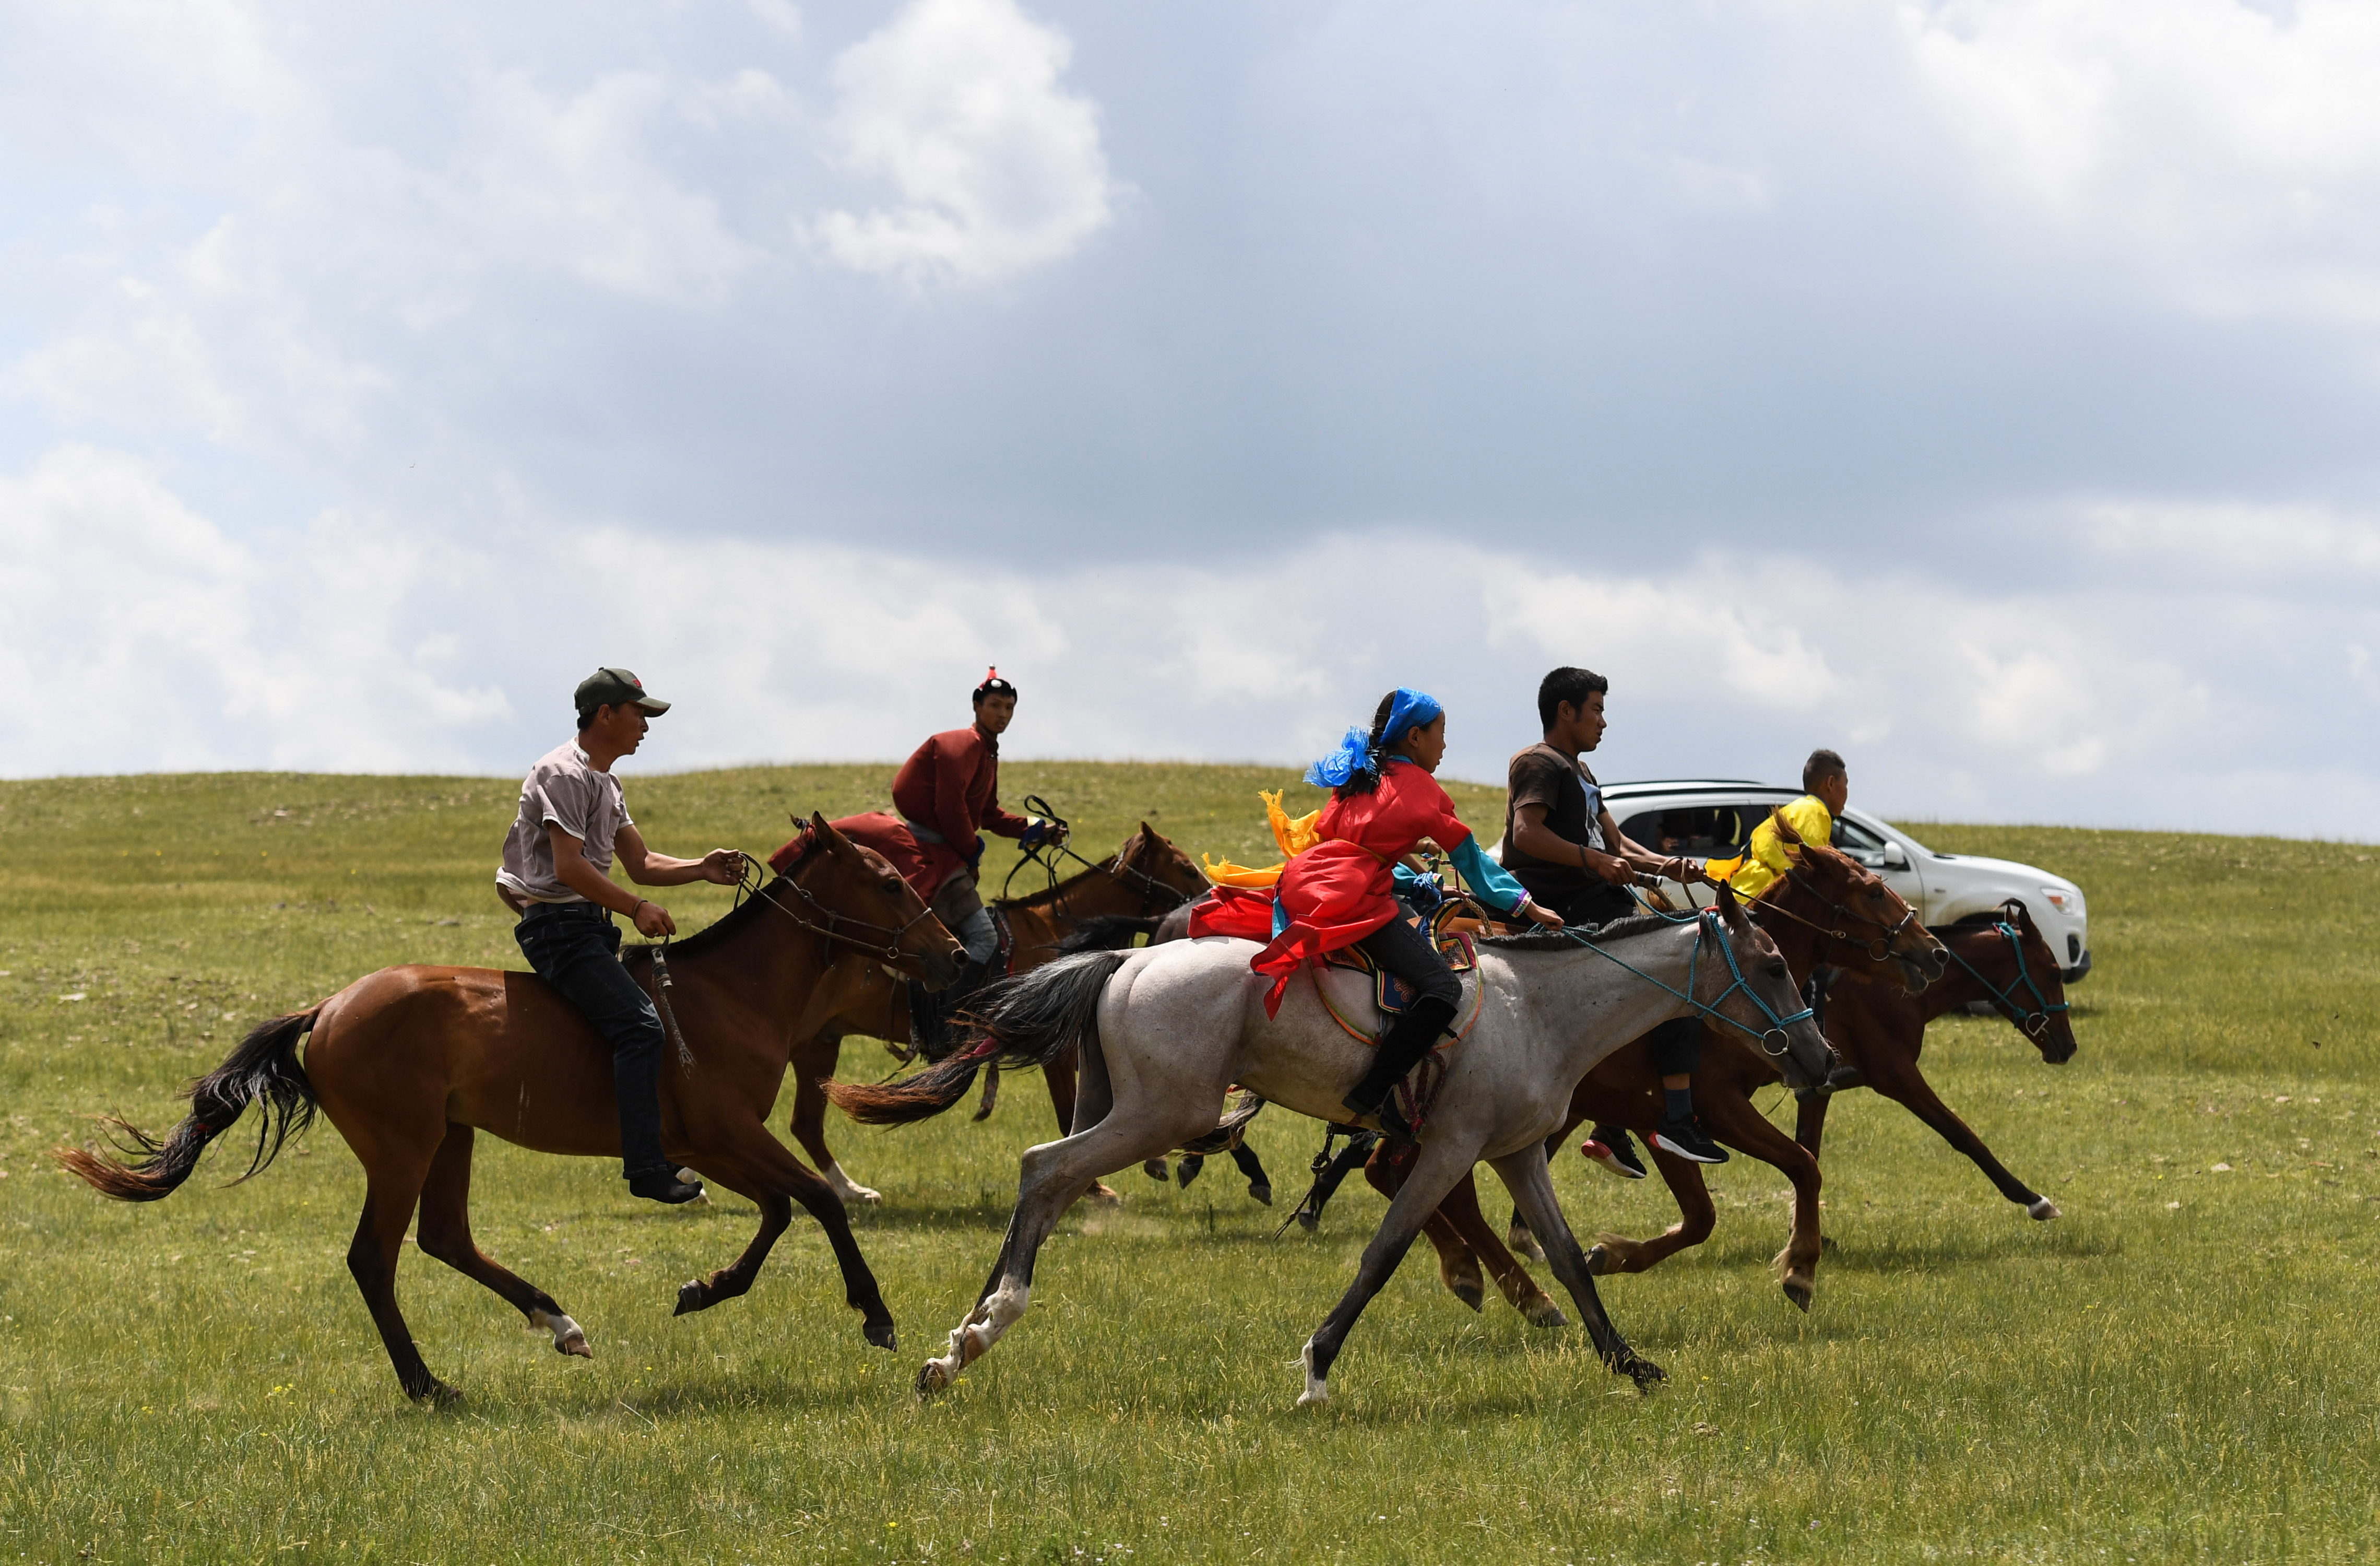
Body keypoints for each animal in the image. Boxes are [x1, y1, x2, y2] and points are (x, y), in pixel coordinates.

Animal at [53, 818, 956, 1399]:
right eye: (887, 881)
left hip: (451, 1137)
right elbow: (815, 1201)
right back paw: (429, 1384)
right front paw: (875, 1314)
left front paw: (706, 1286)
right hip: (402, 1146)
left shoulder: (712, 1142)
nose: (949, 950)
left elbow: (778, 1207)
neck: (731, 993)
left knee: (446, 1237)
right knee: (374, 1257)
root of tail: (331, 1005)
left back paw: (557, 1321)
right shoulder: (726, 1131)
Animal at [785, 823, 1209, 1199]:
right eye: (1186, 868)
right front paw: (1097, 1189)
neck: (1051, 935)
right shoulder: (1056, 1054)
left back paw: (850, 1191)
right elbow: (1069, 1116)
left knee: (806, 1124)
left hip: (818, 1045)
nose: (1205, 902)